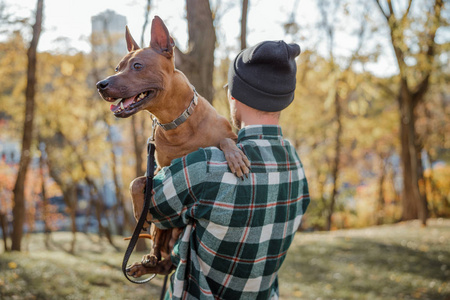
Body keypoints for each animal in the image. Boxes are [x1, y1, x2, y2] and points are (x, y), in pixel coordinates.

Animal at [96, 17, 250, 278]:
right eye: (118, 68)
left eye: (137, 66)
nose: (100, 84)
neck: (175, 123)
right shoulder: (158, 170)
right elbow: (136, 181)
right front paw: (137, 208)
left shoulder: (228, 135)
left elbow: (226, 140)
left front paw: (235, 157)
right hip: (160, 228)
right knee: (160, 248)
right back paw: (146, 261)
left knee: (169, 260)